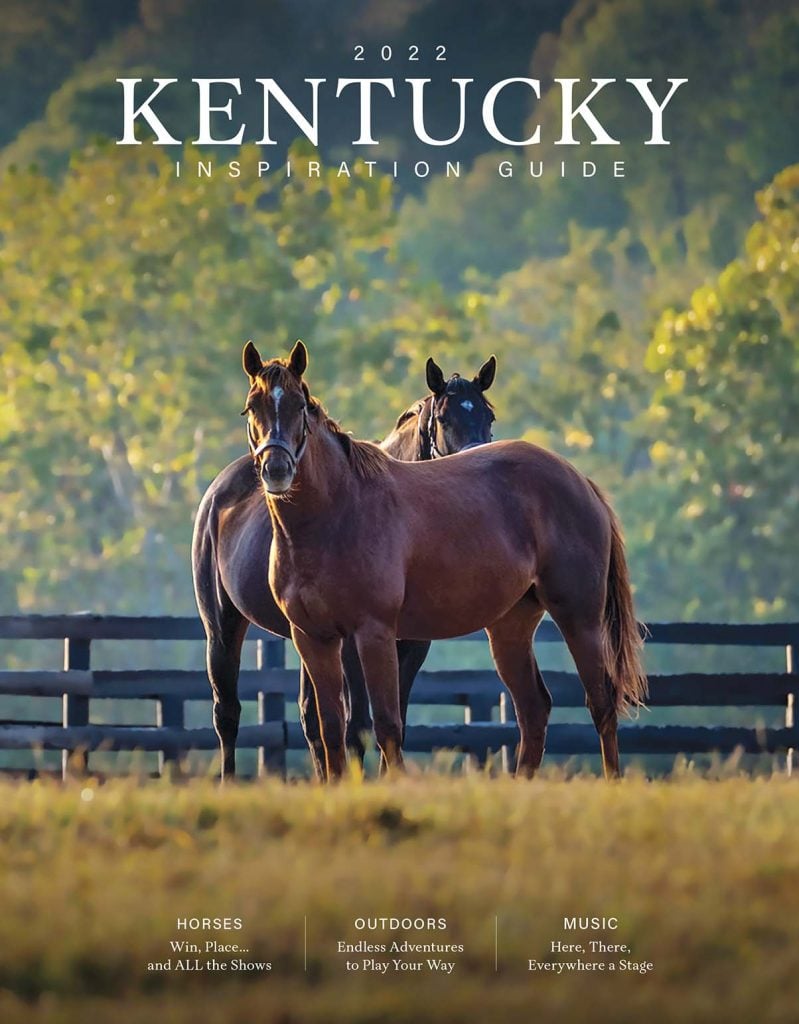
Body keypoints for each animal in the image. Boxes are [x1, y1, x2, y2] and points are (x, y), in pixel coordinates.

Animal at [191, 344, 495, 774]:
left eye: (488, 416)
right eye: (443, 418)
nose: (276, 468)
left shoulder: (410, 645)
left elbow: (391, 721)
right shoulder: (355, 641)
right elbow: (360, 726)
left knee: (309, 718)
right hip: (221, 626)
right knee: (228, 713)